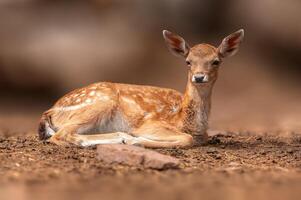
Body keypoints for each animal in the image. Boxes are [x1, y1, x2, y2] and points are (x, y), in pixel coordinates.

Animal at [38, 28, 244, 148]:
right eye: (188, 62)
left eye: (216, 61)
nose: (199, 77)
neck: (183, 120)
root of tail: (50, 111)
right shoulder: (151, 124)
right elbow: (186, 139)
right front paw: (133, 139)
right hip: (99, 102)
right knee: (61, 135)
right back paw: (121, 137)